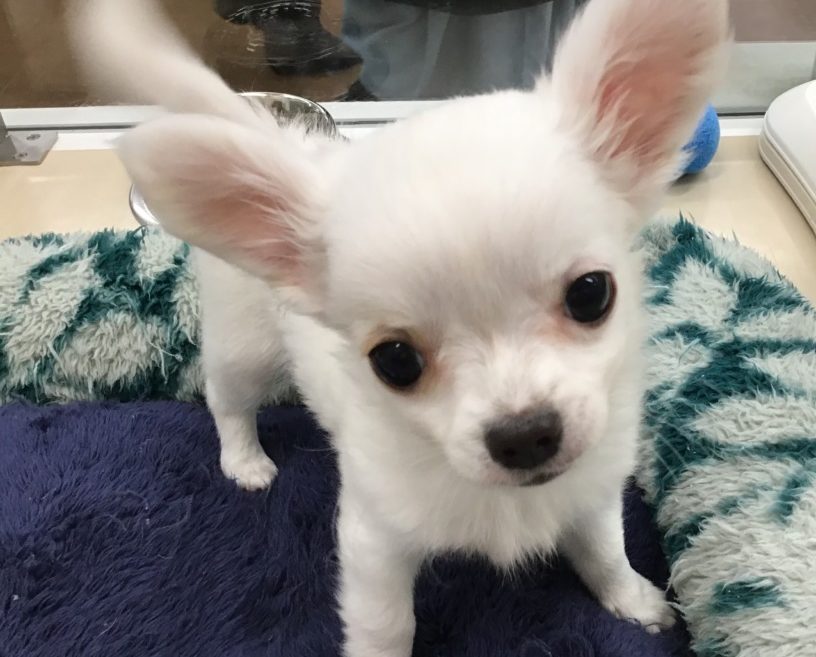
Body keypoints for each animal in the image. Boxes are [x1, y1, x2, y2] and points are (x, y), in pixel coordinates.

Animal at [71, 0, 729, 654]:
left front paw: (634, 600)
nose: (523, 435)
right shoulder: (374, 543)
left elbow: (604, 550)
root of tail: (283, 140)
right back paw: (245, 460)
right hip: (246, 347)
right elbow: (386, 623)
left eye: (592, 295)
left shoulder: (591, 490)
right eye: (395, 362)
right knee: (226, 399)